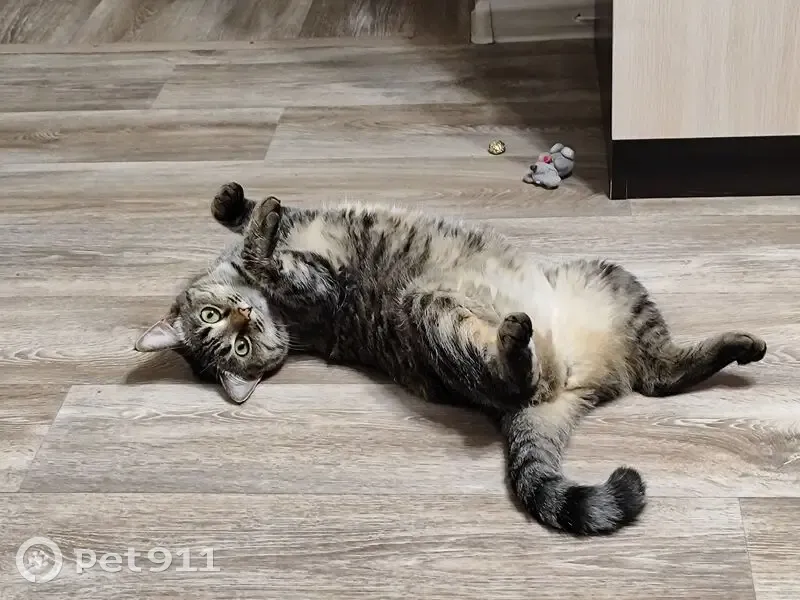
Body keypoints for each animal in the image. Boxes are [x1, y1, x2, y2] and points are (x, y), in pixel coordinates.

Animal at [135, 182, 767, 536]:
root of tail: (570, 383)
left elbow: (240, 220)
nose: (243, 319)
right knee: (561, 380)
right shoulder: (319, 287)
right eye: (230, 344)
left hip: (610, 278)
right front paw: (257, 230)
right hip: (434, 312)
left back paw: (741, 346)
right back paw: (517, 343)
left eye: (217, 322)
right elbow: (263, 252)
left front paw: (235, 202)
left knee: (658, 373)